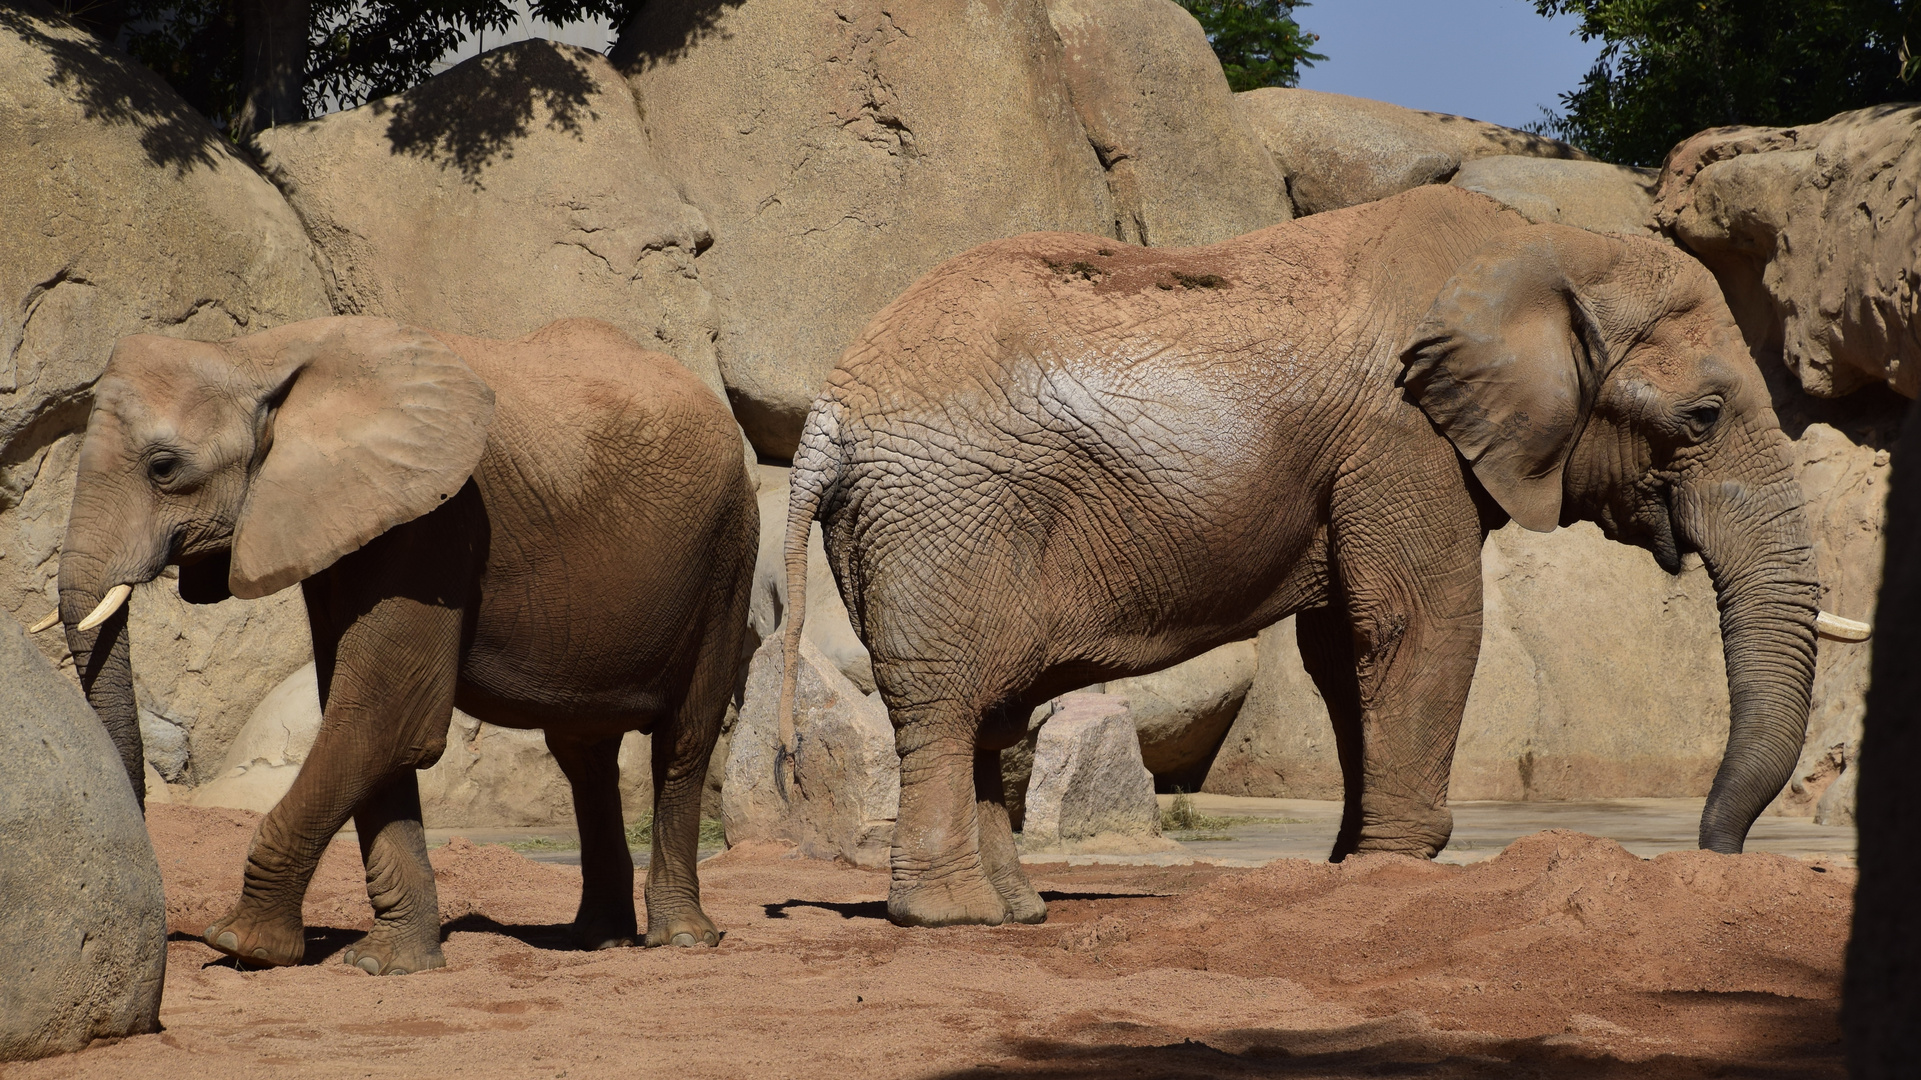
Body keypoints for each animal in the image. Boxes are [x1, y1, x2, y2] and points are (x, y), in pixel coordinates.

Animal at [39, 311, 756, 968]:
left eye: (163, 468)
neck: (257, 353)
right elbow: (372, 724)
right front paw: (387, 964)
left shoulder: (433, 522)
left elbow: (386, 717)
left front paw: (242, 946)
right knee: (583, 754)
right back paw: (595, 940)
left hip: (729, 553)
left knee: (683, 740)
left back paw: (680, 940)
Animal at [779, 184, 1859, 926]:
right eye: (1704, 416)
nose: (1717, 857)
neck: (1550, 242)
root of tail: (830, 405)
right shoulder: (1400, 434)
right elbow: (1419, 623)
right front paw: (1400, 868)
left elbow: (1344, 651)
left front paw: (1351, 868)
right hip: (946, 515)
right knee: (947, 704)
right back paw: (954, 919)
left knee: (990, 710)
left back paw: (1021, 913)